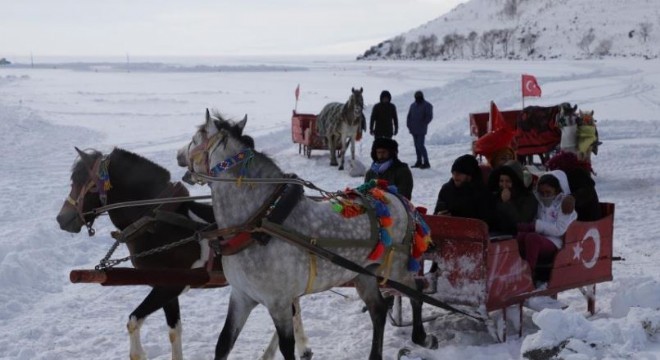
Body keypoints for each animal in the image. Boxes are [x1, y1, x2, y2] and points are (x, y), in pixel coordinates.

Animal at [55, 147, 310, 360]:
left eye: (83, 181)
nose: (62, 219)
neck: (157, 223)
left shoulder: (170, 286)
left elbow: (133, 322)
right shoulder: (167, 288)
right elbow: (174, 332)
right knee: (294, 306)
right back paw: (302, 347)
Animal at [175, 109, 436, 360]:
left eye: (195, 138)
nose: (178, 155)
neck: (258, 224)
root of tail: (396, 197)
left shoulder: (279, 303)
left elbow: (287, 348)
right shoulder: (241, 296)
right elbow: (223, 344)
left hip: (396, 268)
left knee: (416, 292)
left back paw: (422, 336)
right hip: (365, 275)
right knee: (378, 311)